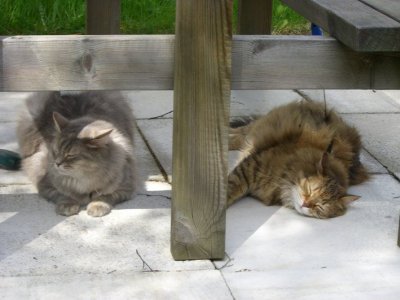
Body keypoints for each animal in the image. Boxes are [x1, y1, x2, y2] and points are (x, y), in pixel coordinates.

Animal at [228, 100, 368, 218]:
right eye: (310, 190)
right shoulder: (250, 166)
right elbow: (230, 187)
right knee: (239, 132)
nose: (305, 204)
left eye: (320, 206)